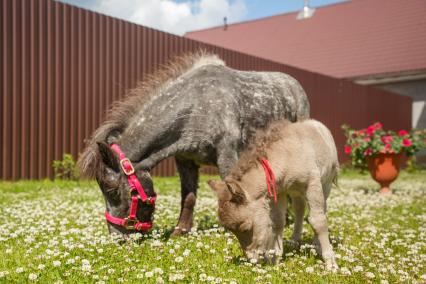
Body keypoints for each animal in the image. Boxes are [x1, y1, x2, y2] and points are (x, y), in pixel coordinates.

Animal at [77, 52, 310, 236]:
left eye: (113, 190)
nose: (117, 237)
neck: (198, 105)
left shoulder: (227, 157)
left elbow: (231, 191)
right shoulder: (185, 162)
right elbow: (188, 198)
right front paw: (180, 230)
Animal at [208, 118, 338, 270]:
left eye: (246, 228)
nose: (252, 259)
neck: (287, 156)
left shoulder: (312, 184)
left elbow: (318, 220)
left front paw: (331, 263)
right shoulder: (280, 192)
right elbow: (277, 221)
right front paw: (275, 257)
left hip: (326, 183)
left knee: (322, 209)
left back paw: (317, 244)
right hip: (295, 191)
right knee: (299, 209)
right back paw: (294, 241)